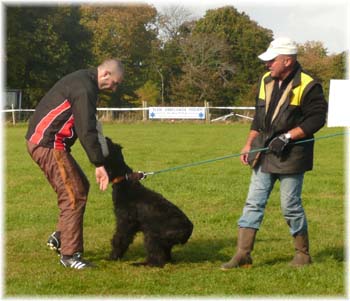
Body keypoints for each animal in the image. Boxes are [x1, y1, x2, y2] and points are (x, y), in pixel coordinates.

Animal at [103, 137, 194, 266]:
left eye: (109, 147)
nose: (106, 138)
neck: (125, 181)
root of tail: (189, 229)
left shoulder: (125, 223)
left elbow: (119, 240)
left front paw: (112, 257)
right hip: (162, 241)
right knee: (165, 257)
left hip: (152, 235)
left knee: (157, 260)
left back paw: (140, 264)